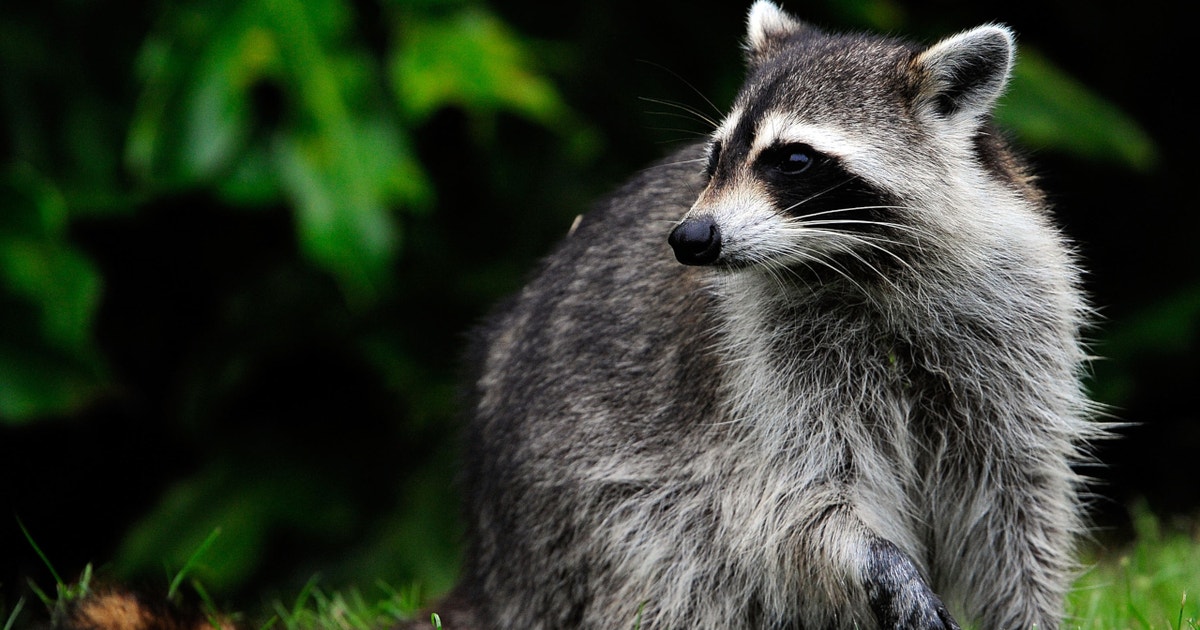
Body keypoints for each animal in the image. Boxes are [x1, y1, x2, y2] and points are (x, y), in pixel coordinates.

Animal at [424, 2, 1103, 629]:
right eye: (714, 157)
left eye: (793, 160)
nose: (690, 239)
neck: (853, 262)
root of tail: (490, 570)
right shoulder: (762, 372)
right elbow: (793, 506)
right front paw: (879, 563)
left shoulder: (1012, 325)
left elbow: (1016, 503)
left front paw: (1029, 613)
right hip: (587, 517)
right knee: (682, 566)